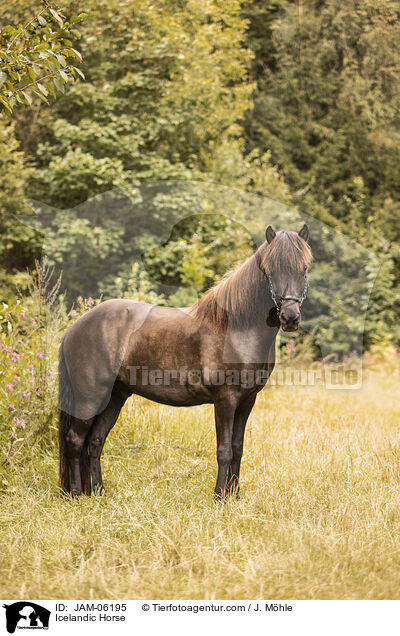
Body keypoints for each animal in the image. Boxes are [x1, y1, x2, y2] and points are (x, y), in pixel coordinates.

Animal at [58, 226, 312, 500]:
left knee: (95, 442)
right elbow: (224, 450)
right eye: (270, 270)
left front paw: (234, 495)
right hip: (89, 397)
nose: (290, 317)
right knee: (75, 440)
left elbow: (238, 447)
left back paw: (97, 492)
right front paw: (219, 497)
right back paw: (75, 494)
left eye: (304, 269)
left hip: (114, 396)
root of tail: (76, 327)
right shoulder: (226, 399)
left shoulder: (247, 399)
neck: (237, 328)